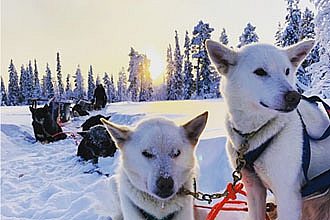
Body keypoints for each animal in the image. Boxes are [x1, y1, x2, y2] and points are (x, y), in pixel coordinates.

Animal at [206, 39, 330, 220]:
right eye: (260, 72)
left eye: (287, 71)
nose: (294, 97)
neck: (253, 134)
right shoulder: (253, 187)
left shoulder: (287, 195)